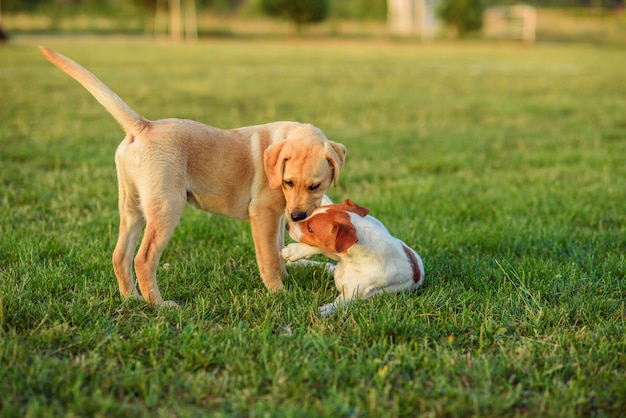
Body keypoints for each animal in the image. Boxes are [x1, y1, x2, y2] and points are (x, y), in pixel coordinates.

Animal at [39, 47, 346, 306]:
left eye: (315, 186)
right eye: (288, 182)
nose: (297, 216)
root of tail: (144, 126)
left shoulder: (277, 216)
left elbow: (278, 251)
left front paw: (286, 276)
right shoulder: (263, 214)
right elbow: (269, 257)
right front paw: (279, 292)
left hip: (131, 206)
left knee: (120, 255)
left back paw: (132, 299)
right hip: (167, 207)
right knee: (143, 259)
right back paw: (160, 305)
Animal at [280, 198, 422, 314]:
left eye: (310, 229)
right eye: (312, 212)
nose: (287, 226)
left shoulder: (351, 298)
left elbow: (337, 305)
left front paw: (323, 310)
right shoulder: (339, 252)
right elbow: (318, 247)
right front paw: (294, 251)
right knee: (327, 263)